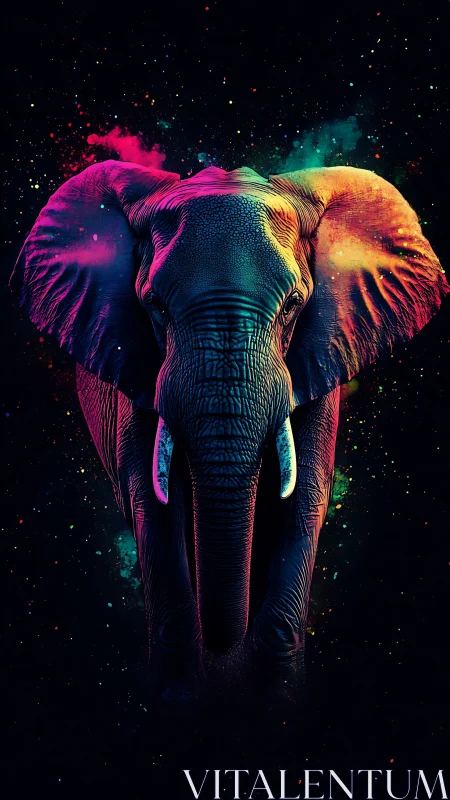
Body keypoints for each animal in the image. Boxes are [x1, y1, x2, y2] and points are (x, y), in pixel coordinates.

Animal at [10, 160, 449, 703]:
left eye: (293, 305)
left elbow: (303, 500)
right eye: (155, 306)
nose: (224, 647)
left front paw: (276, 696)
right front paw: (179, 695)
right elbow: (155, 506)